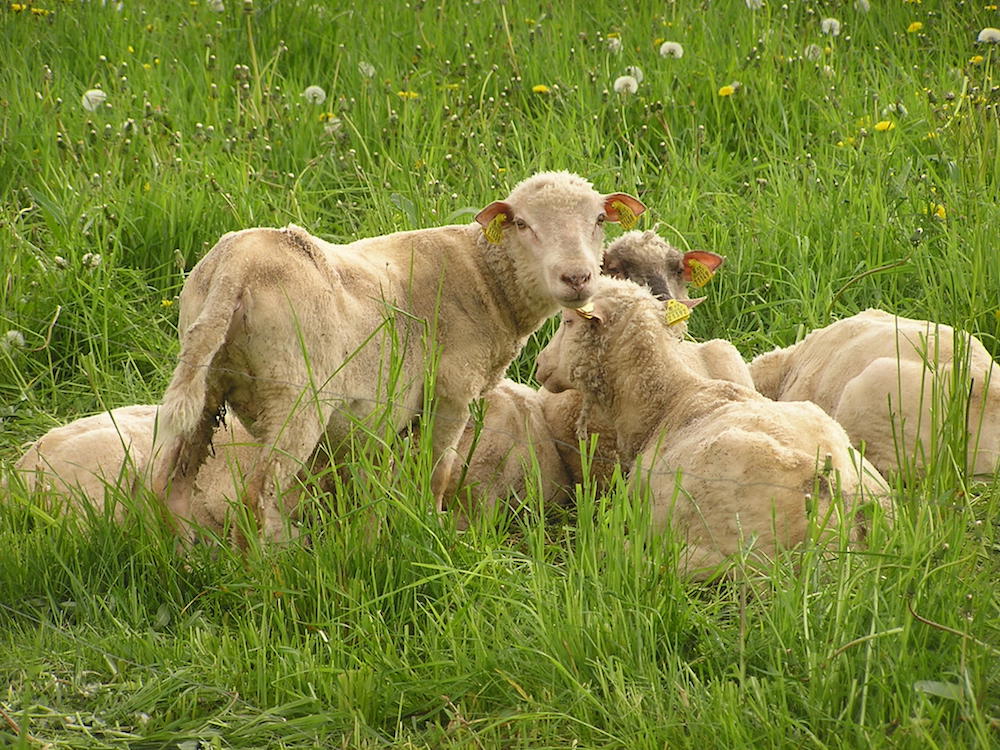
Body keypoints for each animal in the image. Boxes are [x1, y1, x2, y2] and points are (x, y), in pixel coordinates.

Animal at [151, 173, 644, 544]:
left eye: (600, 219)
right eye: (522, 224)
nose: (577, 277)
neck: (486, 279)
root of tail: (234, 269)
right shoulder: (451, 393)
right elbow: (437, 472)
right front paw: (432, 524)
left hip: (206, 383)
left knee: (169, 485)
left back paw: (188, 559)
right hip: (297, 395)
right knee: (256, 496)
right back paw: (268, 573)